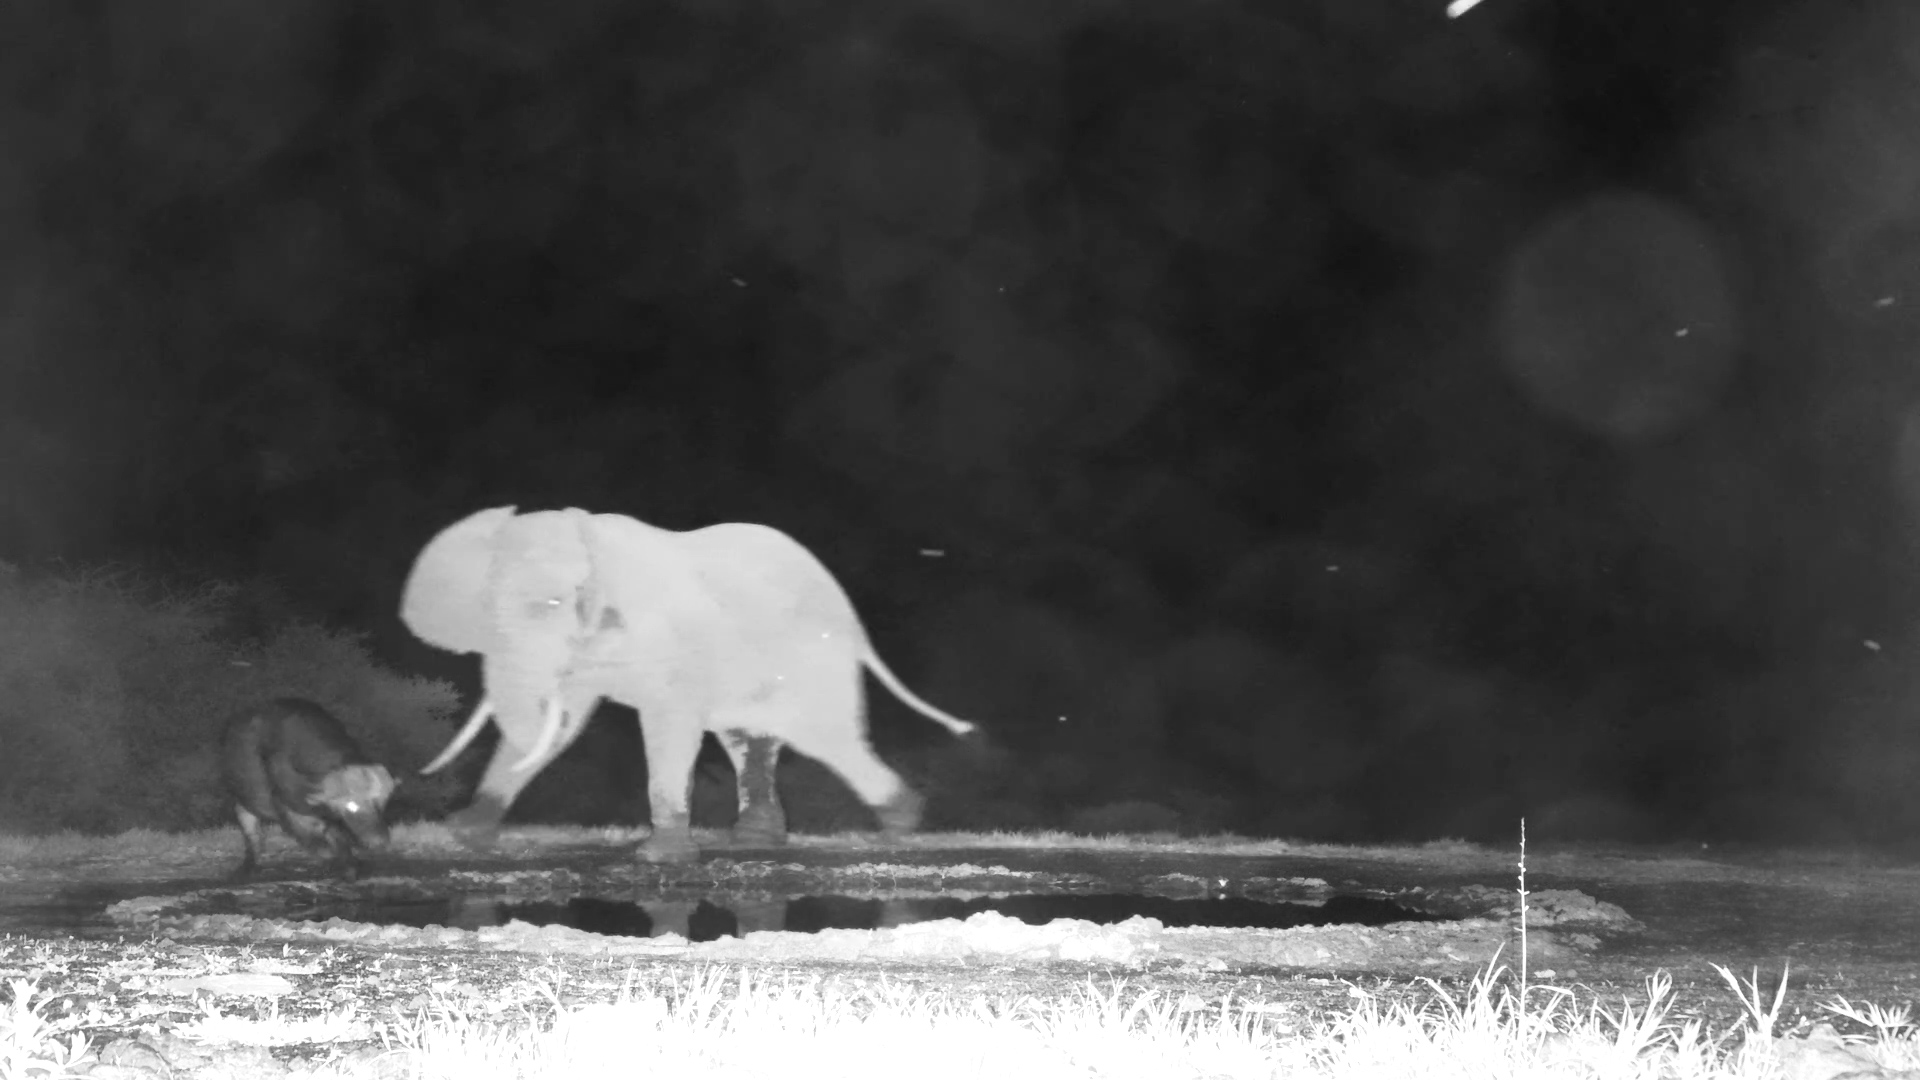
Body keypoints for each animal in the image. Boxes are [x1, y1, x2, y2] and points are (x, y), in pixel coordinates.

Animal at [398, 505, 976, 862]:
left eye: (556, 602)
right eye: (483, 607)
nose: (418, 776)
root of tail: (852, 615)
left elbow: (667, 719)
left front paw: (660, 858)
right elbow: (562, 723)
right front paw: (464, 836)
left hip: (814, 651)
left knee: (823, 733)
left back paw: (902, 821)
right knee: (748, 735)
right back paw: (755, 843)